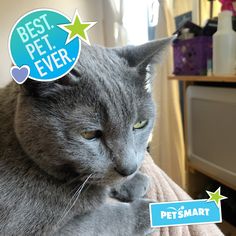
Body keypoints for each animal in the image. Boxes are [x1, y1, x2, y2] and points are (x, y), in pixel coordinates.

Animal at [0, 37, 171, 235]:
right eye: (89, 134)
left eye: (140, 124)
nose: (129, 168)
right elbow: (105, 219)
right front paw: (146, 211)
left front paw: (134, 181)